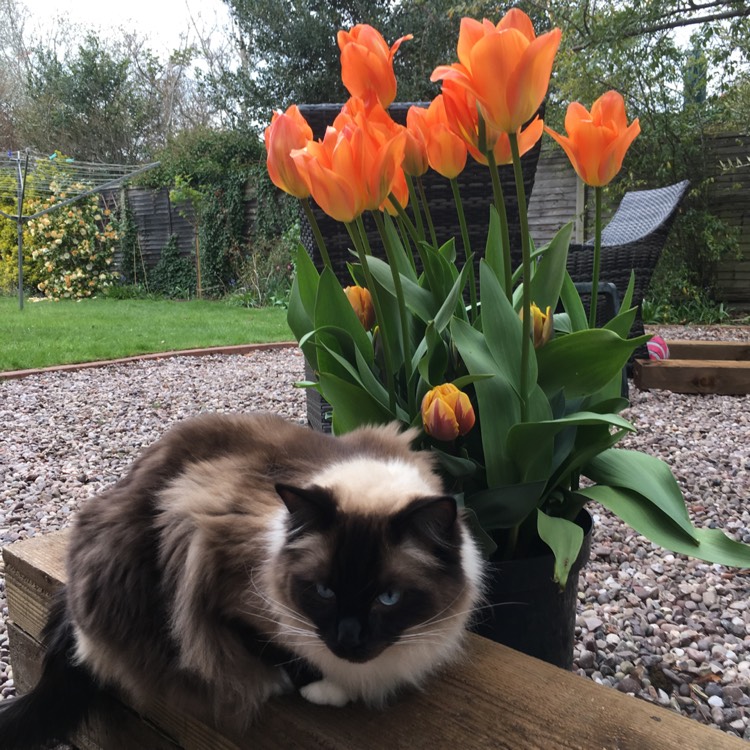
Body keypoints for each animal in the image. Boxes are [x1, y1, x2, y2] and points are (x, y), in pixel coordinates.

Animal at [0, 414, 484, 748]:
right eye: (324, 591)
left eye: (389, 598)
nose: (348, 640)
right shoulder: (213, 569)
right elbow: (276, 650)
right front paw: (320, 689)